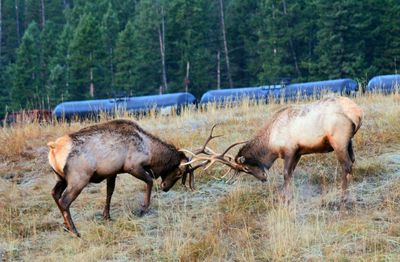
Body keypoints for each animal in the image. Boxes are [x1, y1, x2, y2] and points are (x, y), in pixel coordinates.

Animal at [47, 119, 196, 237]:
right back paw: (74, 231)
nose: (165, 187)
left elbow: (110, 192)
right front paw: (143, 209)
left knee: (54, 194)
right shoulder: (132, 166)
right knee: (64, 201)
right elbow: (149, 181)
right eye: (179, 172)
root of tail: (54, 147)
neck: (150, 151)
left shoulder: (112, 172)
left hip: (60, 178)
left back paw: (66, 226)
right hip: (79, 179)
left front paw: (106, 216)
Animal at [186, 97, 364, 202]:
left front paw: (285, 198)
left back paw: (343, 196)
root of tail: (357, 113)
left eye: (245, 168)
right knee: (352, 161)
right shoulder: (298, 152)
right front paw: (288, 195)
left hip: (338, 140)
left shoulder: (290, 150)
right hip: (349, 141)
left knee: (346, 165)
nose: (263, 178)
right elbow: (291, 174)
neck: (271, 143)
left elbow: (286, 174)